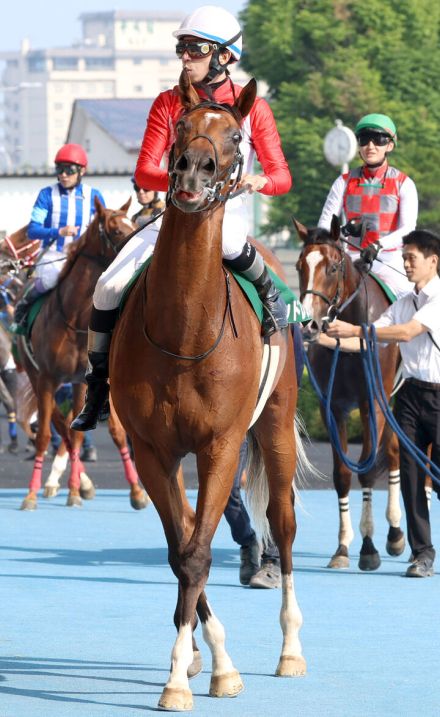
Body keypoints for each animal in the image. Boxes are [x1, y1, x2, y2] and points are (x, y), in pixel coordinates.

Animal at [15, 196, 148, 510]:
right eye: (115, 230)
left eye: (133, 224)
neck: (74, 318)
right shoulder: (48, 378)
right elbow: (44, 436)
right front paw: (30, 495)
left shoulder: (80, 380)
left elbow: (82, 435)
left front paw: (76, 491)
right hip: (36, 376)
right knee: (55, 424)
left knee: (67, 429)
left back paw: (81, 485)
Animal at [111, 72, 310, 712]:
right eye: (179, 125)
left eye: (236, 135)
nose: (192, 171)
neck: (184, 330)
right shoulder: (154, 450)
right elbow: (182, 550)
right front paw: (199, 659)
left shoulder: (220, 446)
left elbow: (199, 550)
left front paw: (199, 672)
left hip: (275, 424)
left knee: (284, 525)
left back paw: (291, 648)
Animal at [296, 215, 406, 568]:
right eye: (301, 266)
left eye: (332, 267)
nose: (309, 324)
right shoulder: (332, 407)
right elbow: (342, 473)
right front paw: (343, 546)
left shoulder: (372, 403)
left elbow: (367, 470)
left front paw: (369, 548)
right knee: (396, 451)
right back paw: (396, 535)